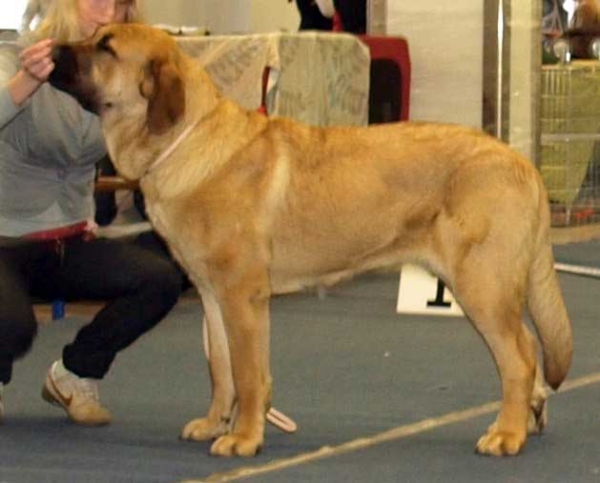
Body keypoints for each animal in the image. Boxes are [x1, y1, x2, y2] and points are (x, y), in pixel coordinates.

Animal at [49, 24, 568, 460]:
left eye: (105, 47)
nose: (51, 50)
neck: (184, 141)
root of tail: (521, 163)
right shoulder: (212, 297)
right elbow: (221, 370)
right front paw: (216, 423)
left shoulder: (243, 297)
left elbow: (248, 374)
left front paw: (243, 438)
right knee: (529, 349)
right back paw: (529, 418)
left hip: (481, 284)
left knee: (520, 357)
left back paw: (506, 433)